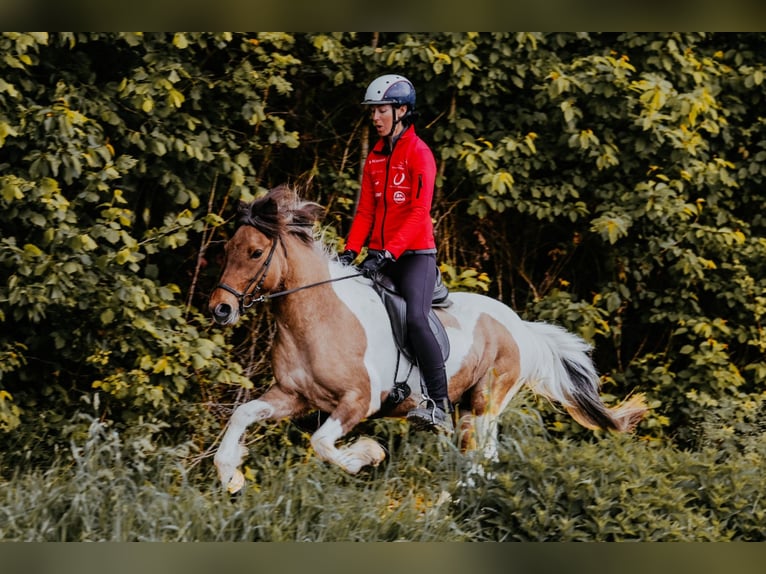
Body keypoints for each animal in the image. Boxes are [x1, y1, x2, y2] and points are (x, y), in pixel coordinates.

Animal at [208, 185, 647, 493]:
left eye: (255, 252)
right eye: (228, 248)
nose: (220, 310)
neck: (316, 318)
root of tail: (521, 326)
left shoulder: (358, 401)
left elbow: (321, 443)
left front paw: (366, 456)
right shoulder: (293, 395)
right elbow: (243, 413)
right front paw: (231, 475)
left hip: (484, 404)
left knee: (482, 458)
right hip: (466, 409)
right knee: (478, 458)